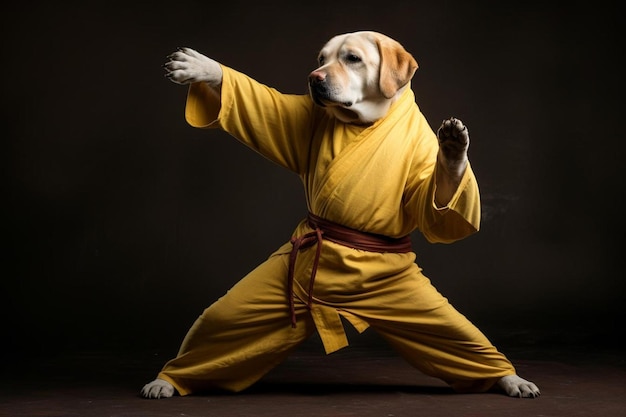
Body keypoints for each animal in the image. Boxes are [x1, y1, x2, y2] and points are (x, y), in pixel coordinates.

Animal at [144, 30, 540, 398]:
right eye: (322, 58)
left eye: (352, 59)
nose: (313, 77)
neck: (365, 121)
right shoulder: (302, 118)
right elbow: (264, 107)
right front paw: (204, 68)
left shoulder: (424, 160)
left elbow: (434, 214)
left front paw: (454, 152)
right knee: (220, 327)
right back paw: (168, 380)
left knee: (460, 339)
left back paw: (508, 377)